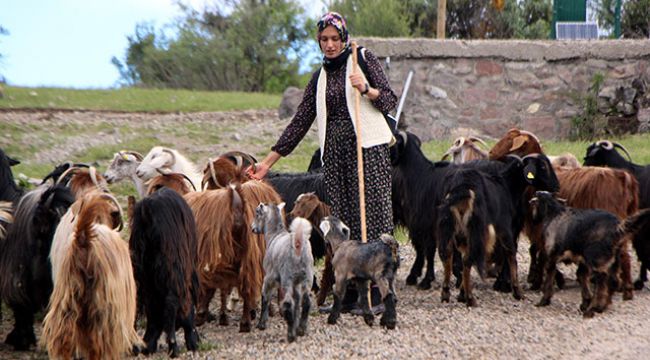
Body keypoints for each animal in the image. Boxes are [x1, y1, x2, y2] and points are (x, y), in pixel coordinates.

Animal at [130, 187, 199, 356]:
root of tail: (146, 212)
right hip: (172, 269)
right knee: (170, 302)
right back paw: (173, 346)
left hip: (140, 271)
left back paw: (139, 345)